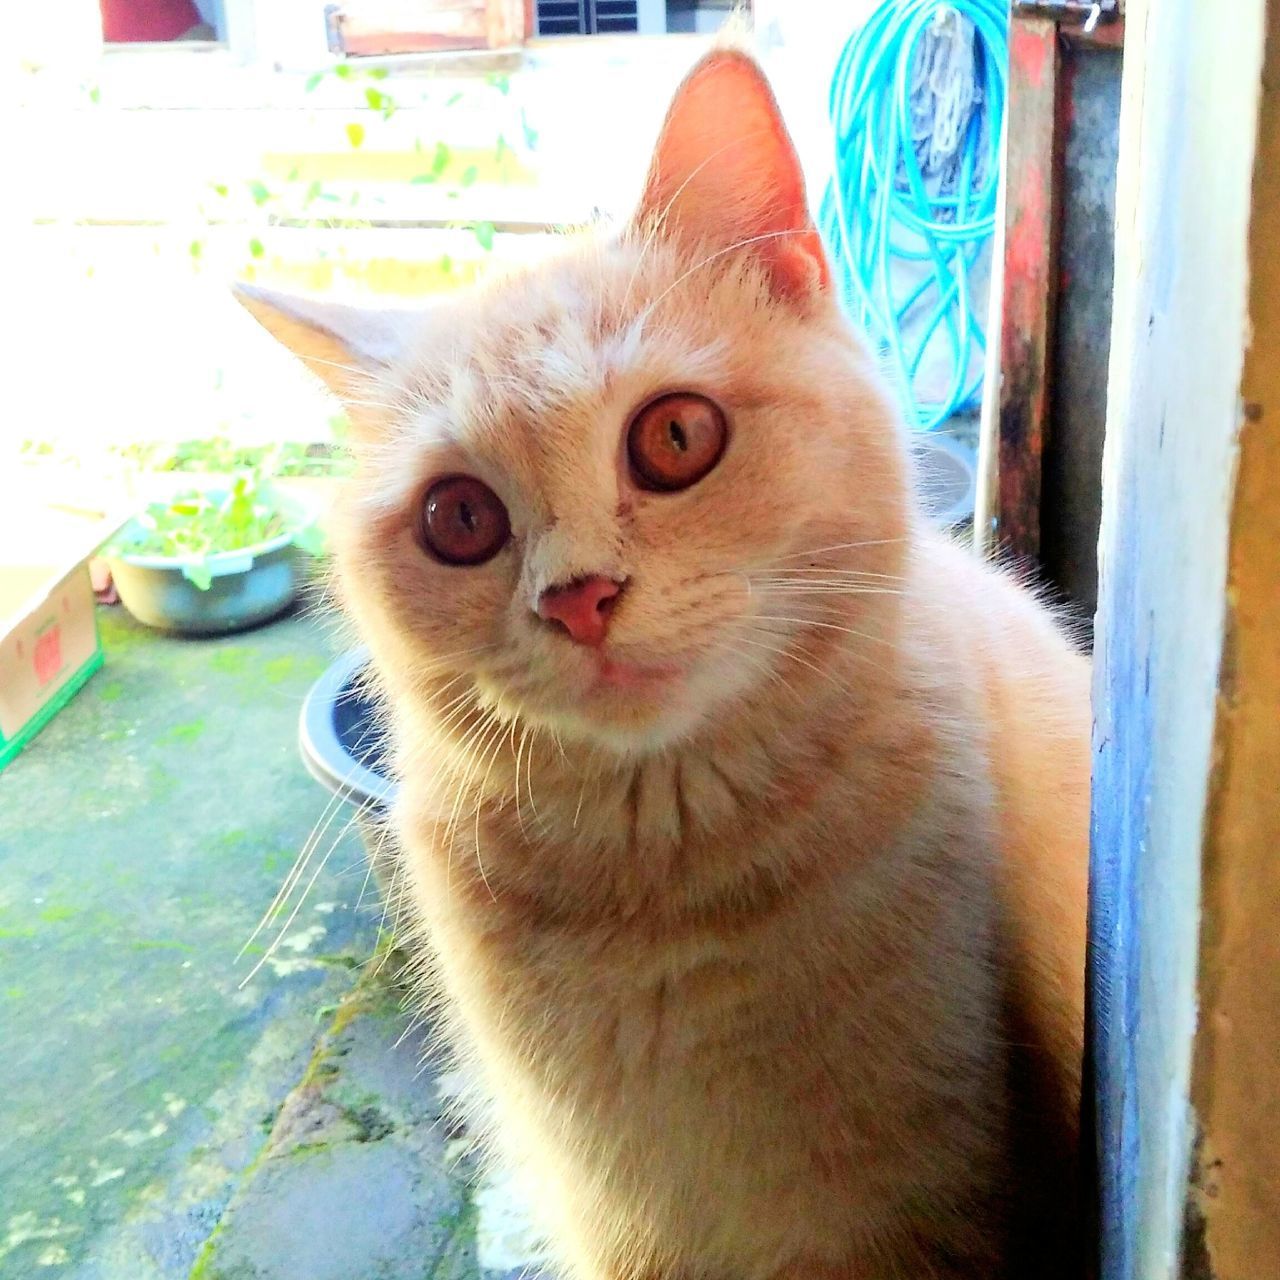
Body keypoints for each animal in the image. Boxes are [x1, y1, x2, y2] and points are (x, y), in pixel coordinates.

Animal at [240, 47, 1090, 1280]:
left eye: (676, 437)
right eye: (458, 518)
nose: (578, 597)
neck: (664, 878)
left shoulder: (925, 1201)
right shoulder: (622, 1221)